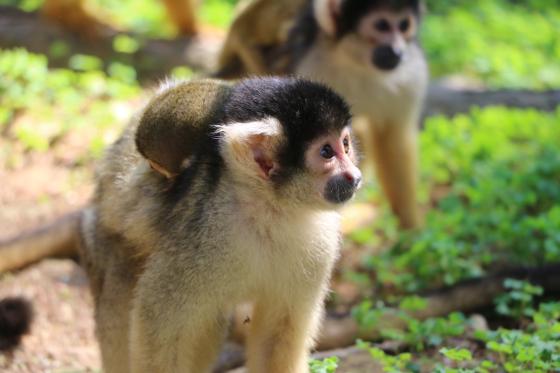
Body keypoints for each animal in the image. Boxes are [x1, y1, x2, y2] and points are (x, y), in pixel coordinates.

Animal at [2, 77, 360, 370]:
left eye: (345, 145)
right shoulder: (200, 233)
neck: (271, 209)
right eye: (326, 152)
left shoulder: (319, 241)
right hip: (101, 238)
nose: (354, 176)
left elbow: (278, 334)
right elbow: (158, 322)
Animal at [219, 0, 428, 228]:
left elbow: (394, 140)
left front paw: (411, 228)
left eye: (404, 25)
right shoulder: (312, 65)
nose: (397, 51)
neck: (356, 61)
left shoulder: (412, 74)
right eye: (382, 25)